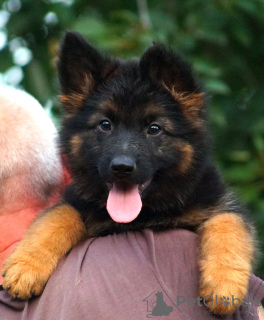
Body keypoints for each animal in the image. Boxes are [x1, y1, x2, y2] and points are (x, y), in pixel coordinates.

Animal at [1, 30, 255, 316]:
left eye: (154, 128)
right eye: (105, 125)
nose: (121, 167)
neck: (146, 213)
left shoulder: (220, 202)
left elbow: (228, 225)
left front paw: (224, 284)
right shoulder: (76, 201)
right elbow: (58, 216)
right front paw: (26, 266)